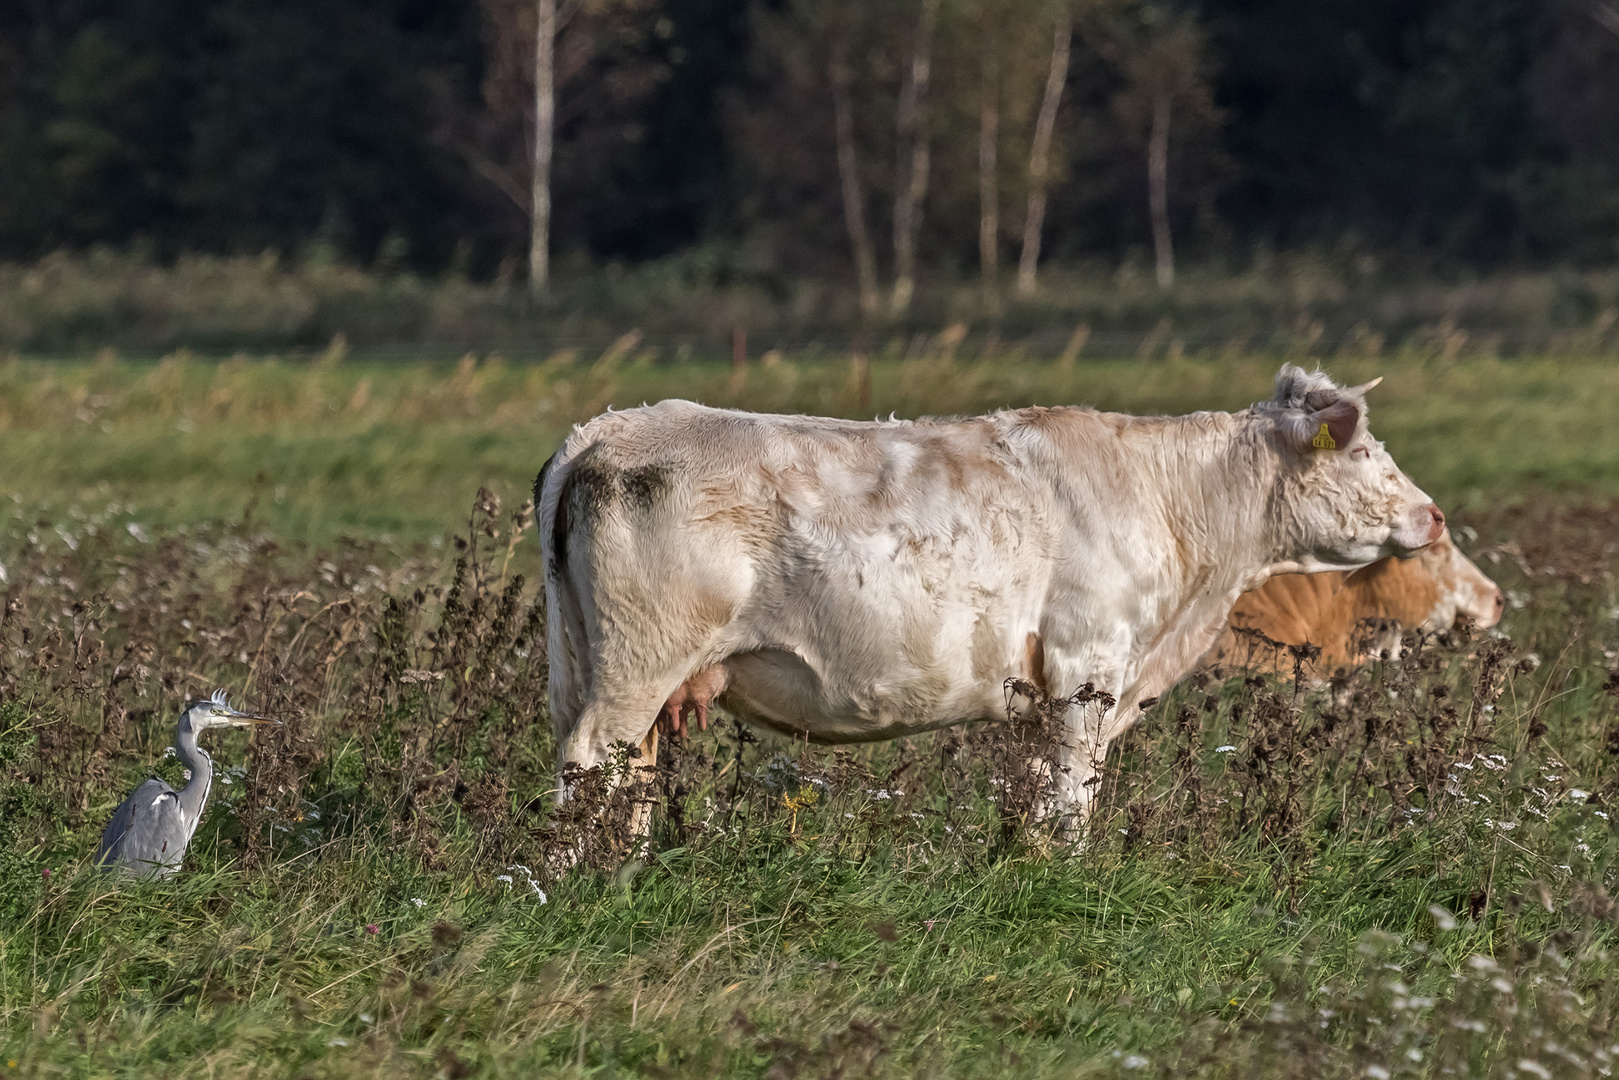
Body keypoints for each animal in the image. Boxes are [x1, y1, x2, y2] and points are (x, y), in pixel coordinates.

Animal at [540, 365, 1444, 829]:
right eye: (1362, 451)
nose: (1433, 515)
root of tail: (607, 428)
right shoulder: (1087, 667)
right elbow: (1070, 797)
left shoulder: (1041, 692)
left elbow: (1032, 797)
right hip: (637, 663)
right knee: (590, 762)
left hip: (601, 669)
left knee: (627, 772)